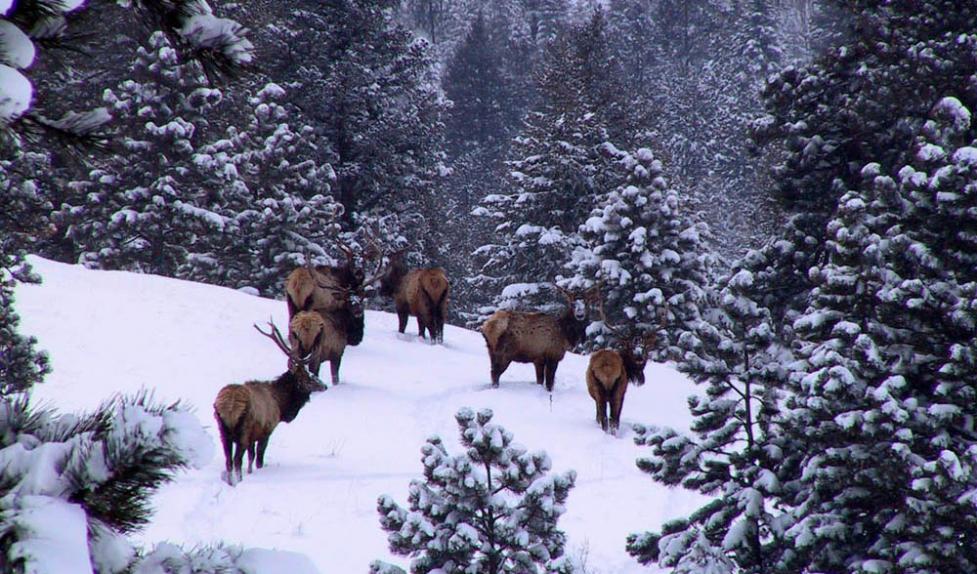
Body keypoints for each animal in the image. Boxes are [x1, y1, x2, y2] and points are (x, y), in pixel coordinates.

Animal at [214, 322, 324, 488]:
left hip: (223, 432)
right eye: (307, 377)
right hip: (243, 431)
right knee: (237, 460)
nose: (324, 385)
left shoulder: (252, 436)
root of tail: (230, 406)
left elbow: (251, 457)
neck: (280, 403)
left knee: (228, 461)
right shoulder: (266, 431)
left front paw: (250, 472)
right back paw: (239, 481)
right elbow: (258, 458)